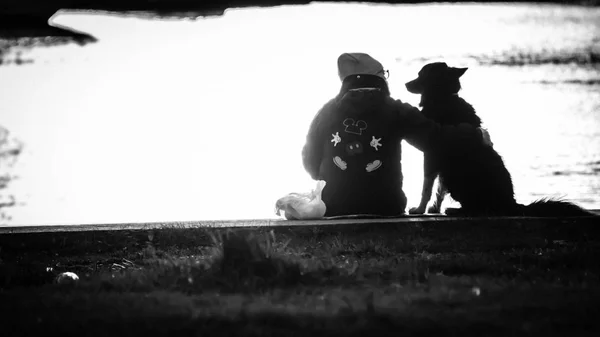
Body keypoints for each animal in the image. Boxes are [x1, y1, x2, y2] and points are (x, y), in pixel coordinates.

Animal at [406, 61, 592, 217]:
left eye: (420, 75)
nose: (405, 84)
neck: (443, 96)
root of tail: (511, 203)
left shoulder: (431, 153)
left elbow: (427, 187)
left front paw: (419, 209)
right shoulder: (440, 161)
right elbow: (439, 188)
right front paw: (434, 208)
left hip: (460, 179)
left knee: (480, 209)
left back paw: (456, 210)